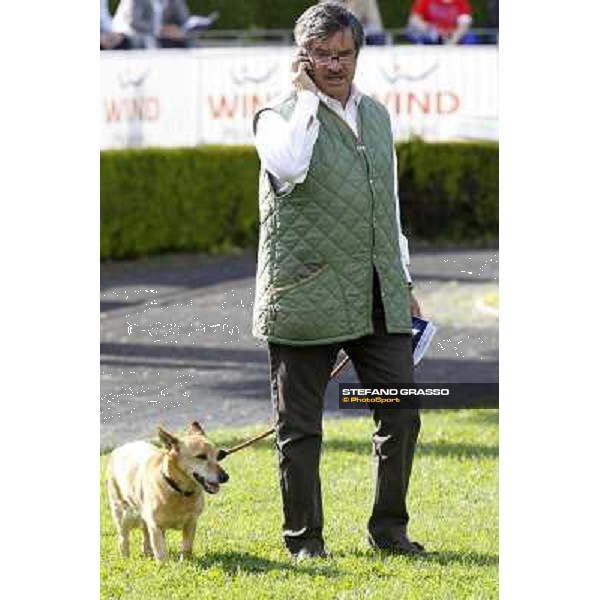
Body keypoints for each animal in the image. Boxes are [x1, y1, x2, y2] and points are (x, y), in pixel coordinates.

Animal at [104, 422, 229, 564]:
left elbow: (187, 547)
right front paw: (165, 566)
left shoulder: (191, 523)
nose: (225, 477)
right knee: (123, 539)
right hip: (124, 515)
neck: (179, 491)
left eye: (218, 455)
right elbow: (161, 553)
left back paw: (147, 553)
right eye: (201, 456)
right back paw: (125, 559)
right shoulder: (156, 526)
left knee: (145, 536)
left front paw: (184, 563)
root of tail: (120, 448)